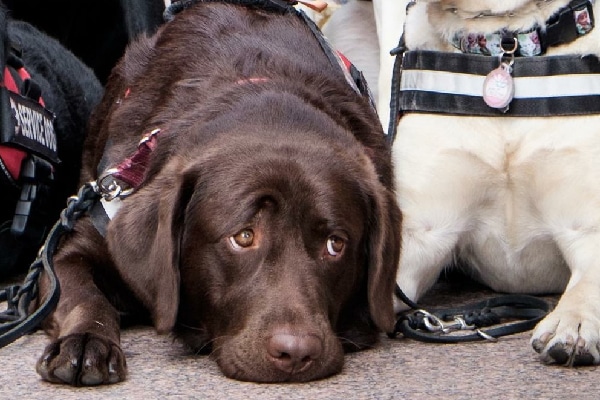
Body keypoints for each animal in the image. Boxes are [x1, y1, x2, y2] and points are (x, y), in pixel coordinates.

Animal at [35, 0, 400, 388]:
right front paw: (86, 340)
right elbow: (85, 297)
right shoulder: (68, 250)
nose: (297, 352)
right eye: (243, 237)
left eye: (335, 244)